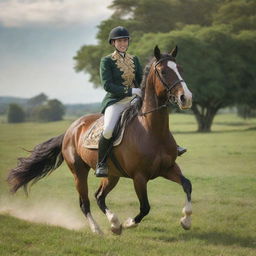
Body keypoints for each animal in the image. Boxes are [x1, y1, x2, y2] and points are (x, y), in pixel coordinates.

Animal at [7, 45, 192, 234]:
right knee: (85, 203)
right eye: (163, 72)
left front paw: (185, 220)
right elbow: (145, 207)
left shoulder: (168, 168)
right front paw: (129, 223)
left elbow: (187, 185)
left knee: (99, 197)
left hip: (111, 175)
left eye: (181, 69)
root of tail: (70, 129)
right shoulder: (139, 177)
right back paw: (99, 229)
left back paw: (114, 223)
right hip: (79, 172)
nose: (186, 98)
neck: (151, 130)